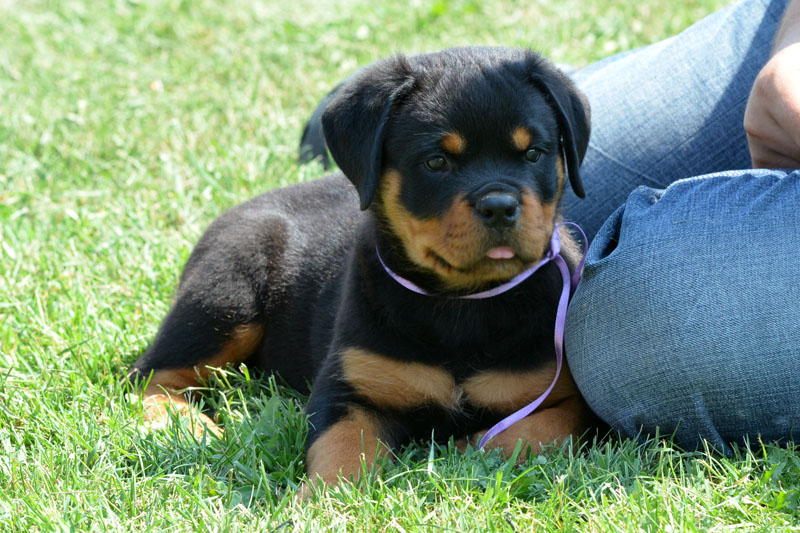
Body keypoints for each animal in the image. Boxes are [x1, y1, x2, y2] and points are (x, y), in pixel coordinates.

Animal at [131, 46, 592, 486]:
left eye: (533, 153)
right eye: (436, 162)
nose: (499, 206)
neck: (463, 302)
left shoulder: (568, 395)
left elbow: (545, 429)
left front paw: (463, 449)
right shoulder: (350, 386)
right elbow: (343, 448)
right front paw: (326, 499)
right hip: (225, 297)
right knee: (148, 376)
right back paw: (186, 424)